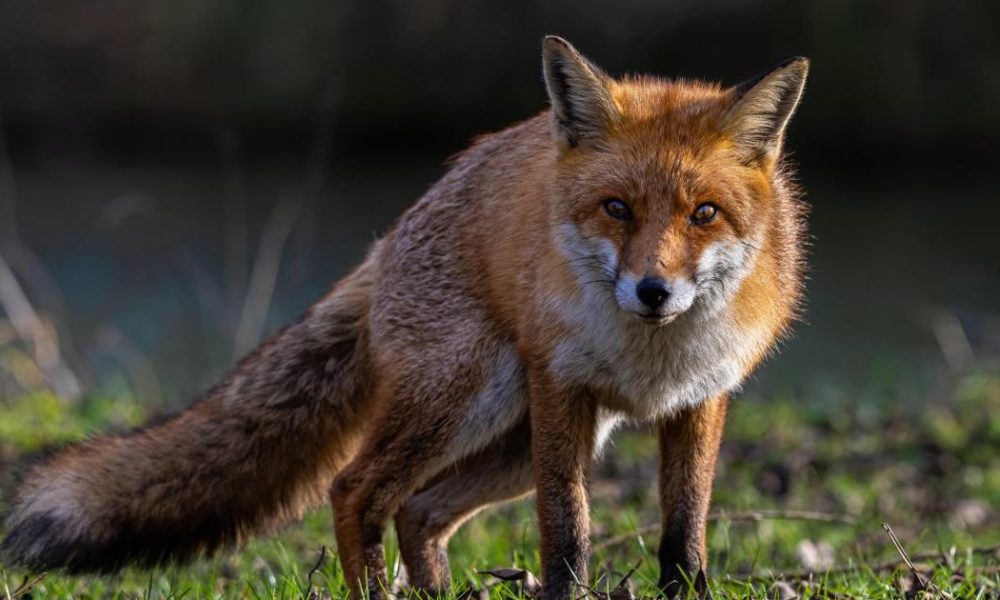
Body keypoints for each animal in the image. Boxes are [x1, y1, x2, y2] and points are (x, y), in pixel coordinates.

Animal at [1, 37, 808, 599]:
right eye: (617, 208)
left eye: (703, 214)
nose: (653, 291)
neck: (651, 357)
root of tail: (388, 238)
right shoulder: (562, 388)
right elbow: (567, 530)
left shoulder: (701, 399)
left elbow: (685, 532)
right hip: (476, 399)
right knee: (358, 490)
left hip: (515, 439)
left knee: (419, 510)